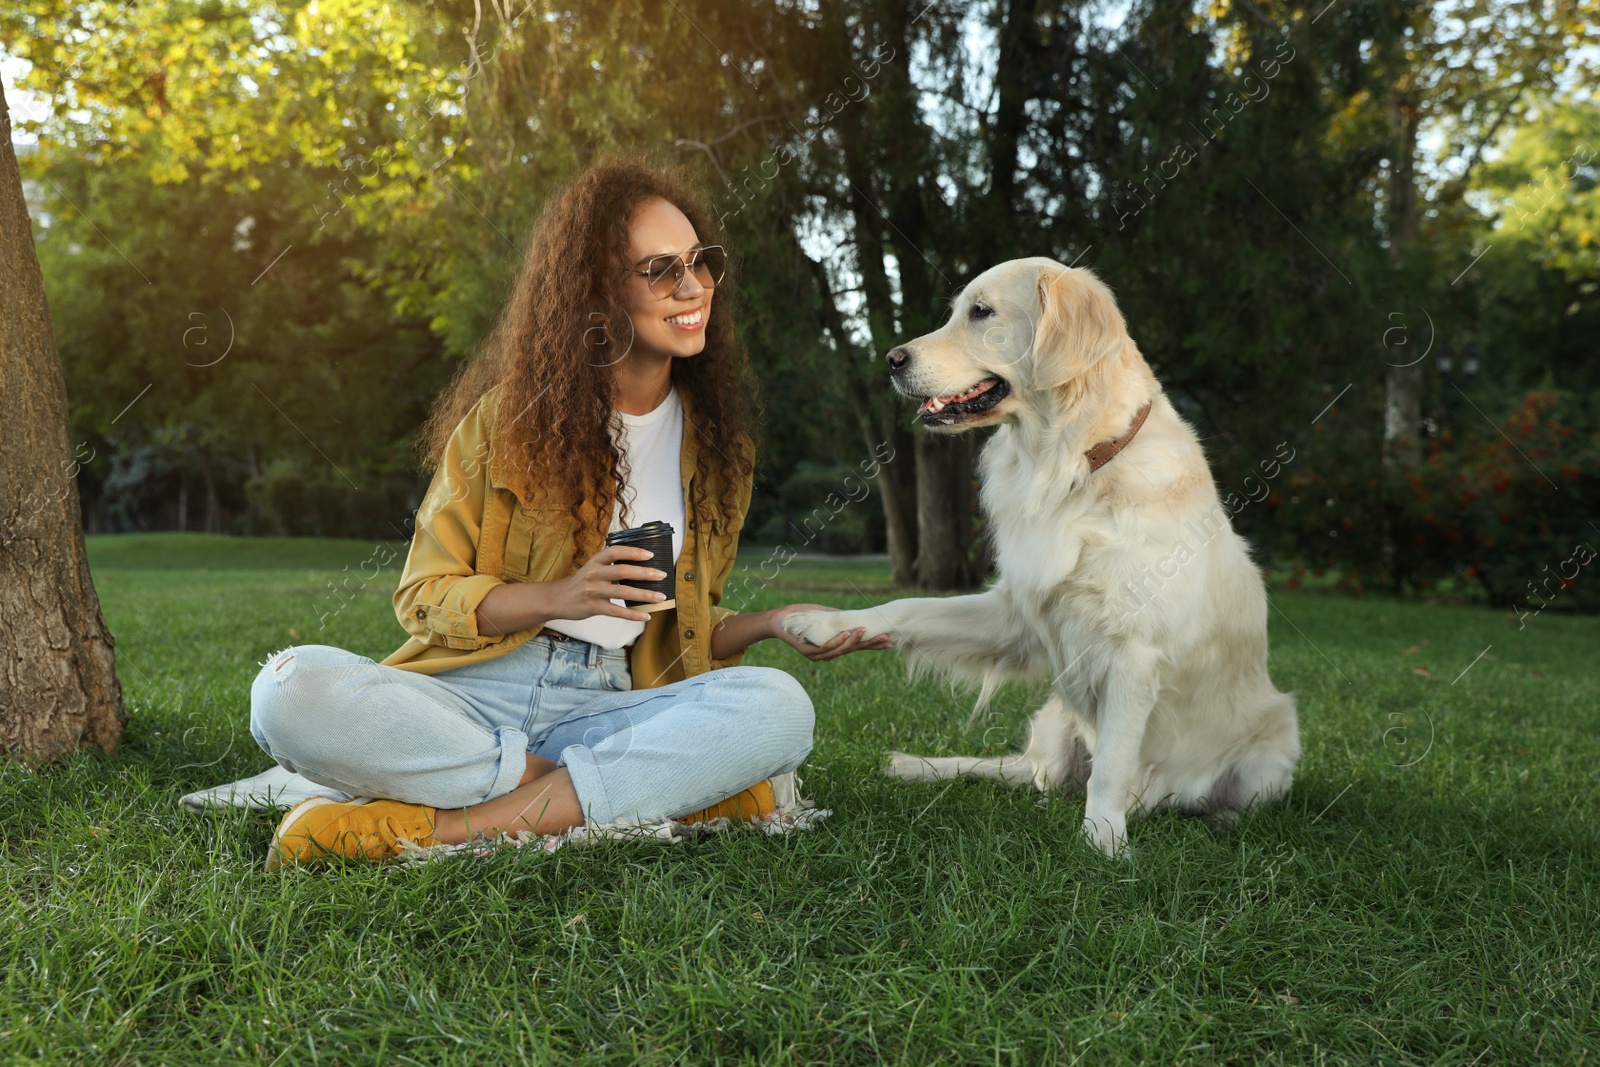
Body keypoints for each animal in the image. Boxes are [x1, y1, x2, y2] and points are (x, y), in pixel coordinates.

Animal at [787, 259, 1299, 857]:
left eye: (981, 312)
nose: (891, 360)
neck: (1074, 466)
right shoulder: (1018, 612)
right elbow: (908, 607)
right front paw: (824, 625)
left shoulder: (1133, 654)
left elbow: (1112, 767)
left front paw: (1104, 844)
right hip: (1056, 726)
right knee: (1023, 772)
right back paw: (923, 767)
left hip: (1277, 742)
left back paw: (1220, 819)